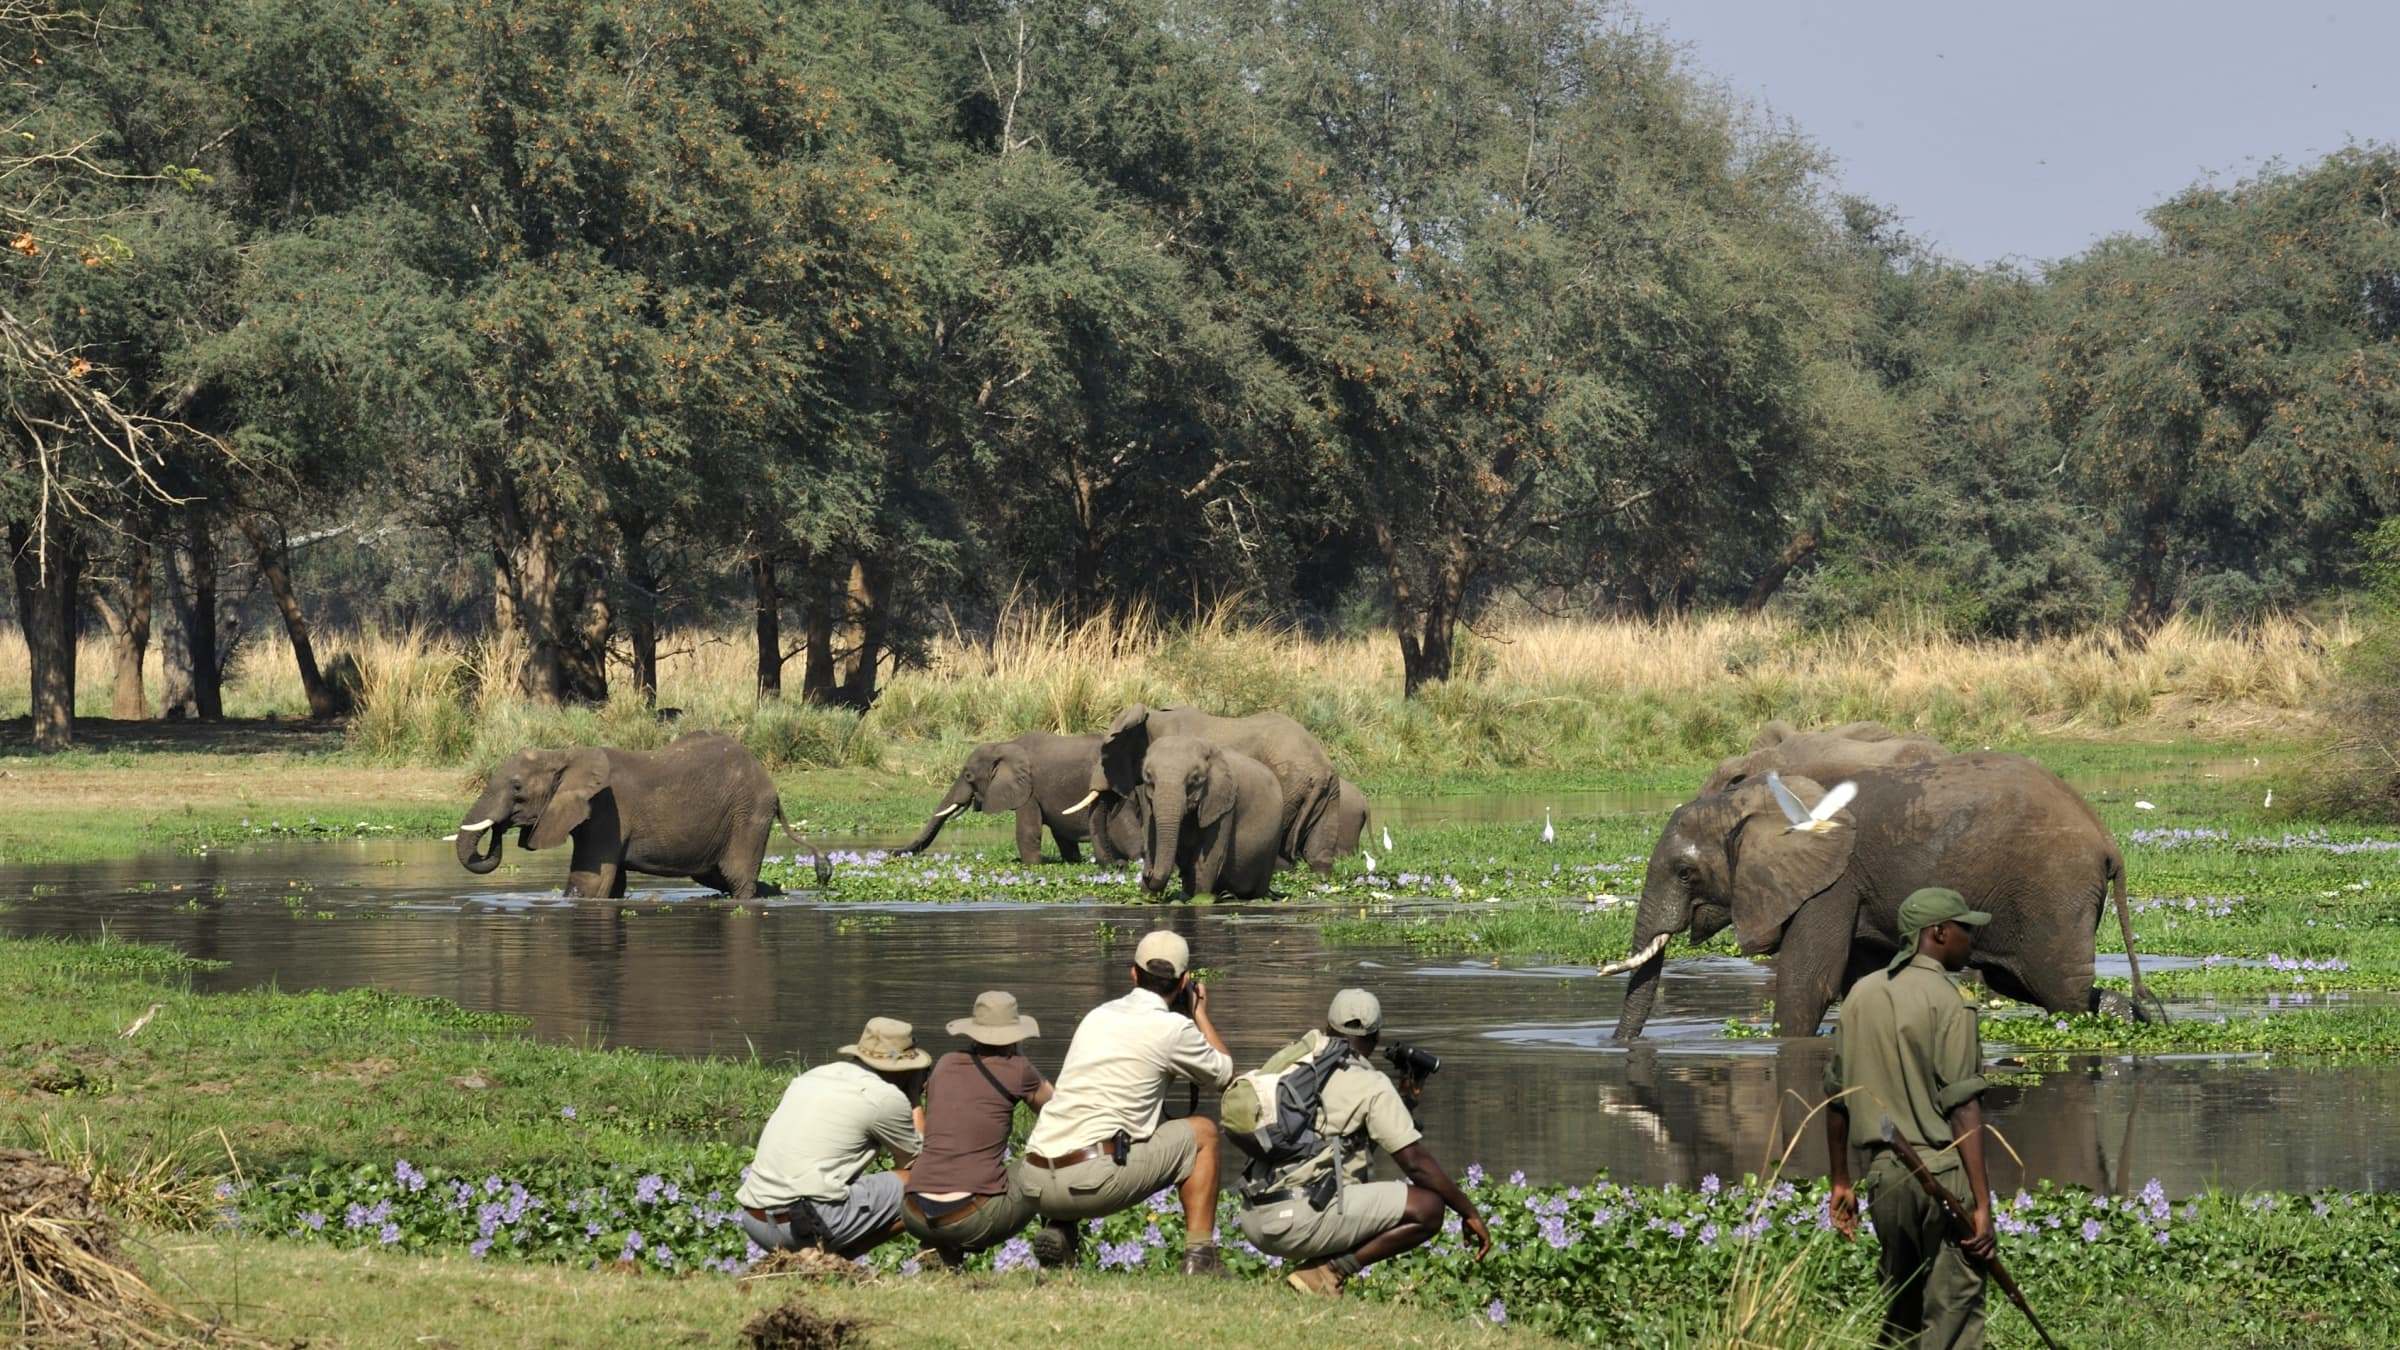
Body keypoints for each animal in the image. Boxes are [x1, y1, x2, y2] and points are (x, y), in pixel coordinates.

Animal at [451, 730, 831, 899]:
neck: (563, 754)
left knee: (736, 878)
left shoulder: (606, 813)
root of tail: (772, 786)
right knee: (718, 877)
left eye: (517, 788)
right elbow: (612, 885)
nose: (501, 828)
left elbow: (588, 884)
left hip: (748, 814)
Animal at [896, 732, 1142, 864]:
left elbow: (1028, 831)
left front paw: (1032, 866)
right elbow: (1061, 834)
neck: (1003, 745)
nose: (894, 853)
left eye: (968, 776)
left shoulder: (1030, 790)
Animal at [1090, 704, 1342, 873]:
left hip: (1288, 785)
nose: (1119, 865)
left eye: (1105, 752)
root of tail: (1320, 771)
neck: (1152, 717)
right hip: (1330, 793)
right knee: (1318, 851)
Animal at [1134, 734, 1284, 900]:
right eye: (1149, 778)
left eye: (1195, 780)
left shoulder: (1225, 802)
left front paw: (1198, 899)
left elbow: (1209, 857)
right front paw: (1147, 898)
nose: (1148, 873)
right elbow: (1152, 840)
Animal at [1600, 752, 2153, 1039]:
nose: (1617, 1047)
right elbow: (1861, 981)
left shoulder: (1833, 883)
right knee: (2030, 983)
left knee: (2059, 989)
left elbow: (1809, 982)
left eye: (1685, 872)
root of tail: (2107, 841)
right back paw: (2134, 1018)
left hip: (2053, 892)